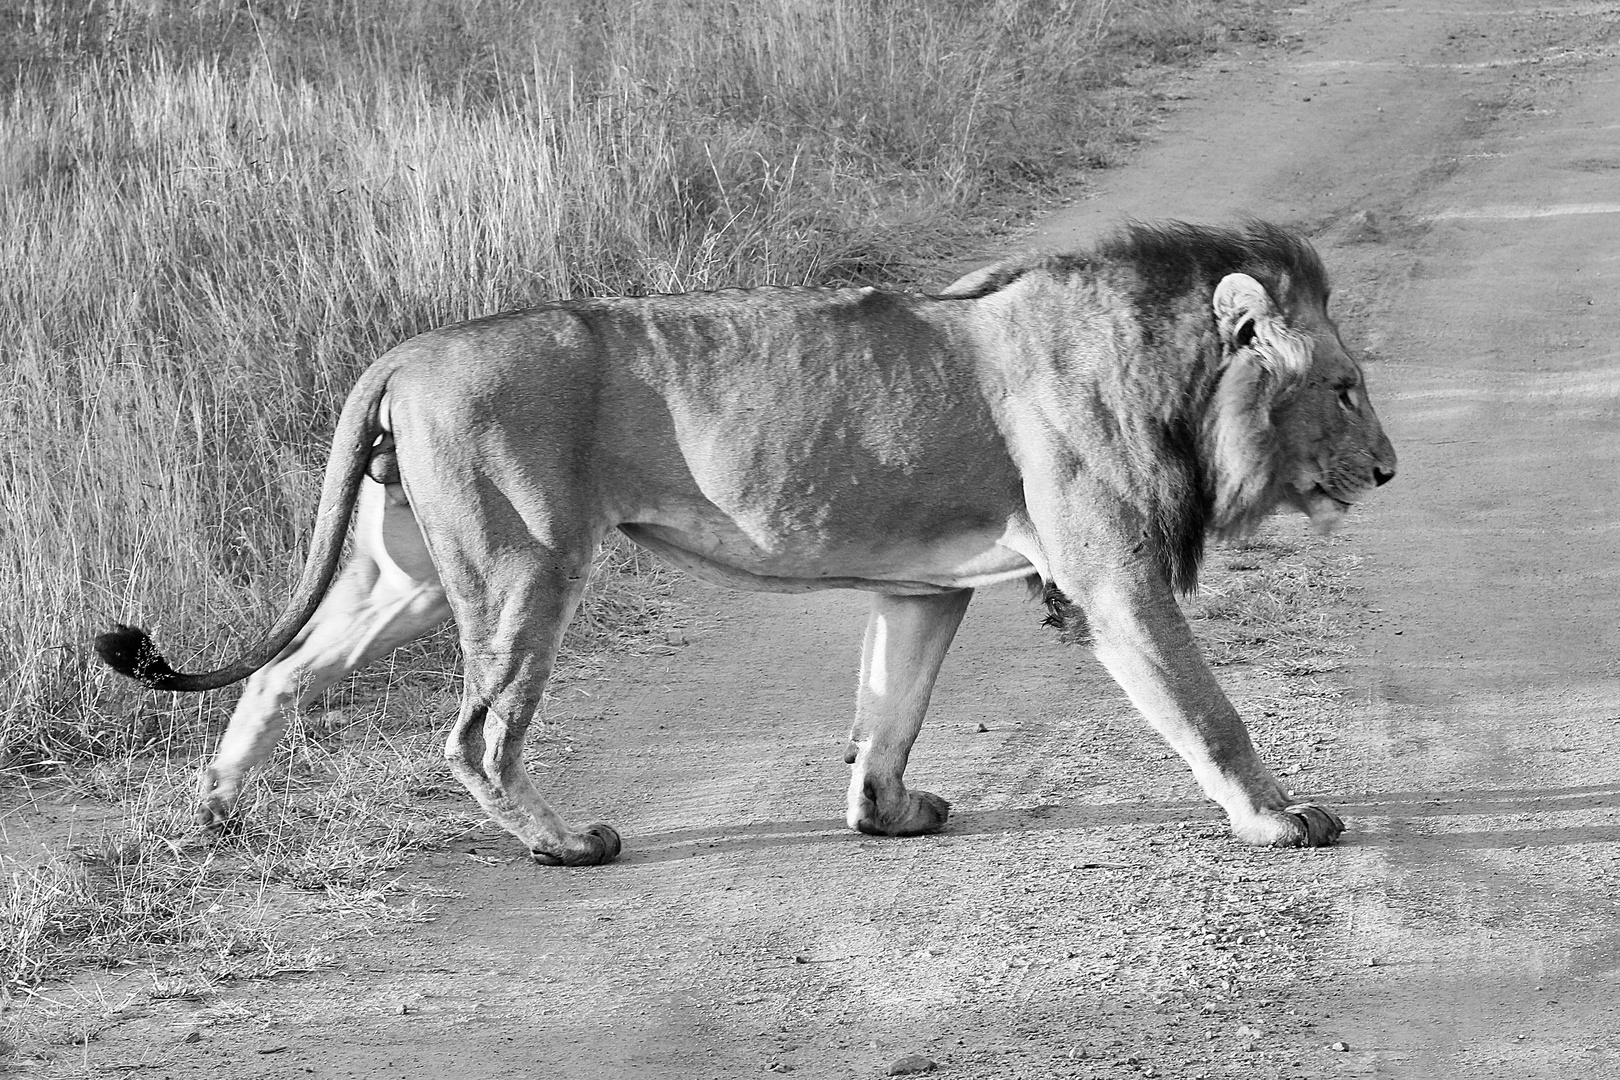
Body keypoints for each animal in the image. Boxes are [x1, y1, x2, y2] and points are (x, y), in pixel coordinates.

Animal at [98, 221, 1393, 867]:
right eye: (1342, 388)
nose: (1387, 470)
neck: (1169, 373)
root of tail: (413, 348)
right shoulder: (1114, 577)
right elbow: (1208, 712)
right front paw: (1279, 823)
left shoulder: (927, 589)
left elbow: (890, 711)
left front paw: (886, 816)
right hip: (525, 567)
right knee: (475, 733)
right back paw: (565, 844)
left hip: (405, 579)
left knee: (276, 670)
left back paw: (215, 811)